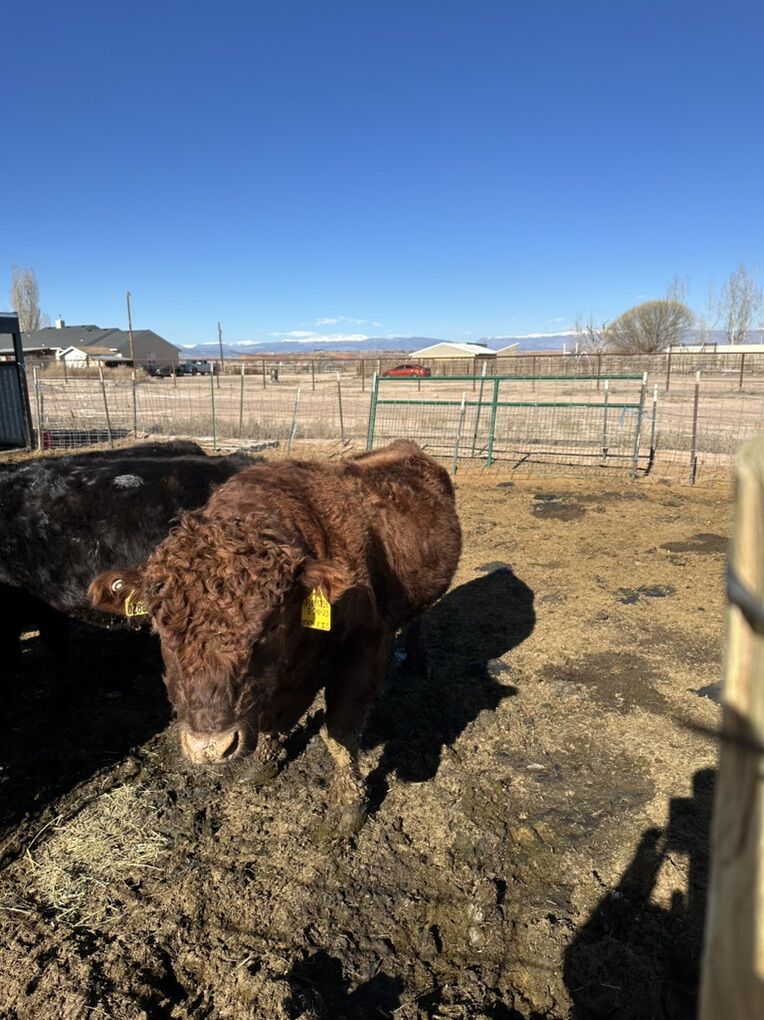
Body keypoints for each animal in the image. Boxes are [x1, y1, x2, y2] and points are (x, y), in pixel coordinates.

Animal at [88, 440, 462, 833]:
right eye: (159, 626)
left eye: (269, 625)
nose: (211, 747)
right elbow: (272, 719)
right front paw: (262, 763)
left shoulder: (361, 654)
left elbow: (340, 734)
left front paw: (349, 805)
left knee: (420, 617)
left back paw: (418, 660)